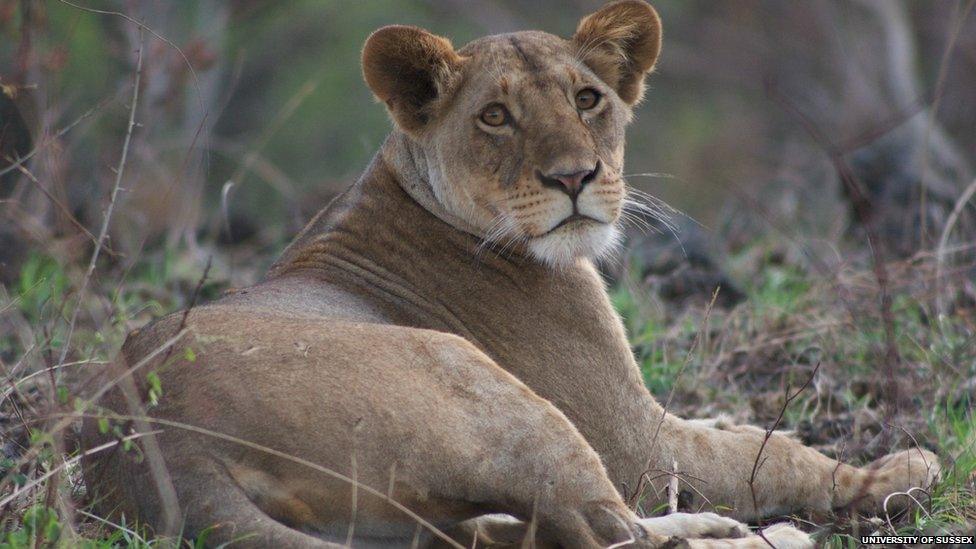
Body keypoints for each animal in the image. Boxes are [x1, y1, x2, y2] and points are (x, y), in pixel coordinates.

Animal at [80, 2, 938, 547]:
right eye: (495, 116)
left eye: (588, 98)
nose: (575, 177)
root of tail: (152, 443)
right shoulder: (635, 439)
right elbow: (767, 457)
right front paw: (895, 469)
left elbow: (739, 429)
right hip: (473, 376)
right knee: (608, 530)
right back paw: (751, 533)